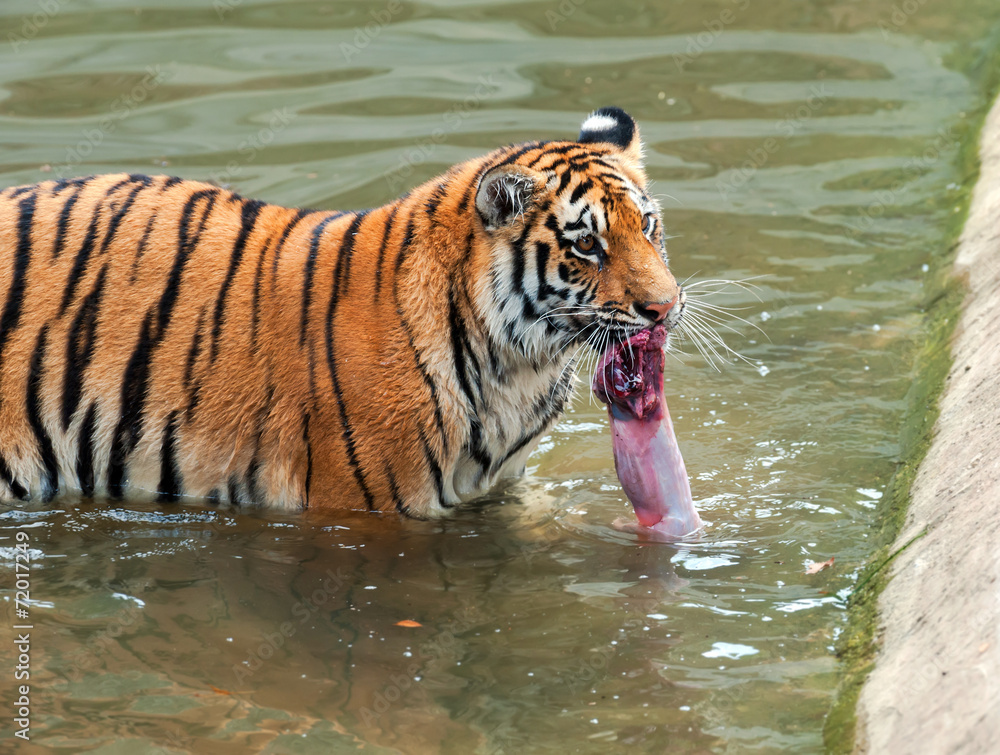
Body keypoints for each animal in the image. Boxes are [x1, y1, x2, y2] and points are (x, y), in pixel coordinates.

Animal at [0, 107, 684, 517]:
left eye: (648, 226)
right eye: (587, 244)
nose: (665, 308)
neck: (517, 370)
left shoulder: (499, 491)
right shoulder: (367, 509)